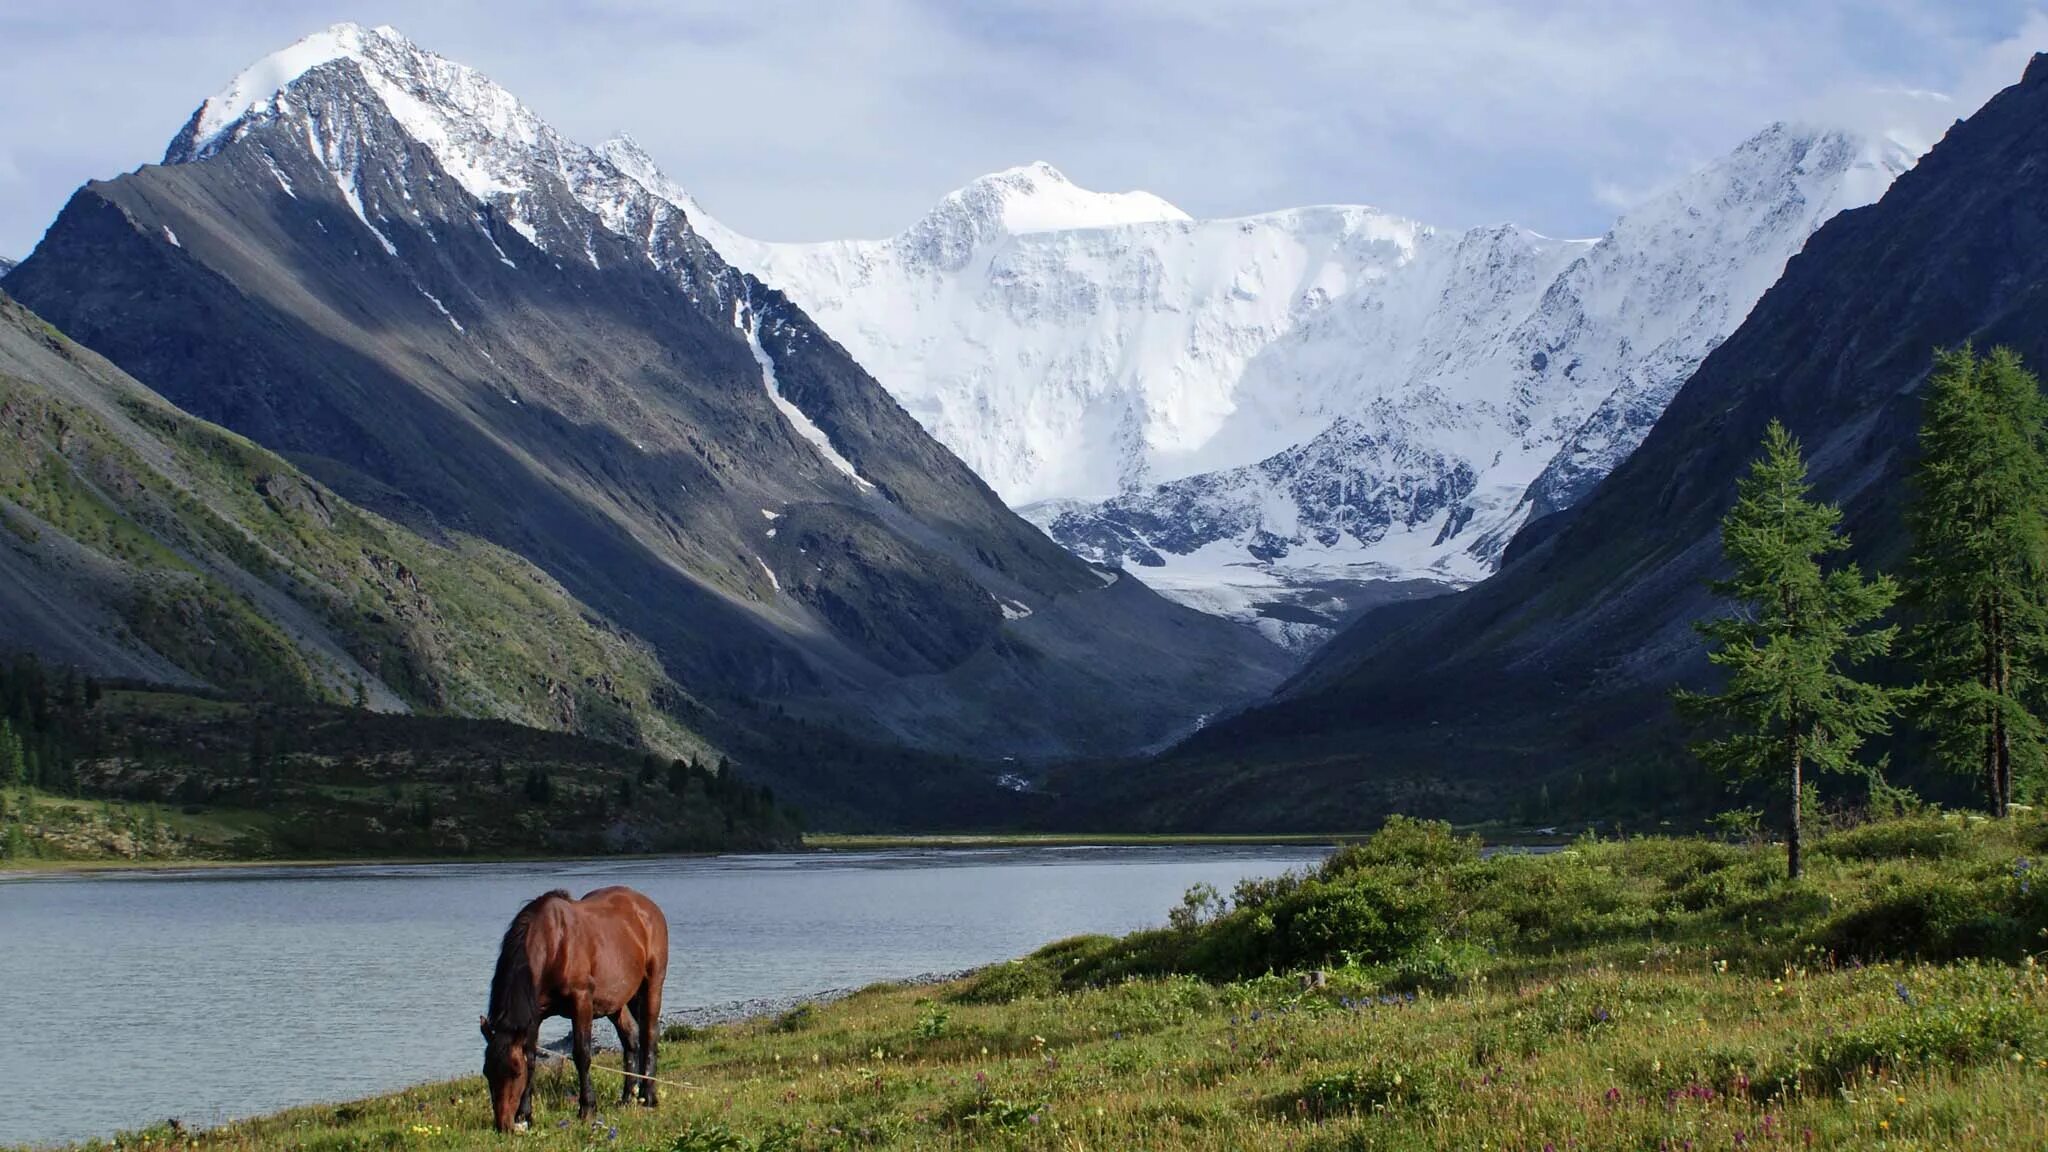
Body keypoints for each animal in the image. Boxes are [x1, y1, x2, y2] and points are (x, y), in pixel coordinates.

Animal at [479, 881, 671, 1123]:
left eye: (515, 1071)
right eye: (487, 1071)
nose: (502, 1124)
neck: (554, 944)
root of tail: (648, 907)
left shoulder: (581, 1001)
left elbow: (582, 1054)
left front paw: (587, 1108)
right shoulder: (535, 1014)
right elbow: (531, 1057)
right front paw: (525, 1114)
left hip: (652, 985)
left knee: (649, 1035)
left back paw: (648, 1096)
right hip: (616, 1001)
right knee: (631, 1038)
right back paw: (627, 1096)